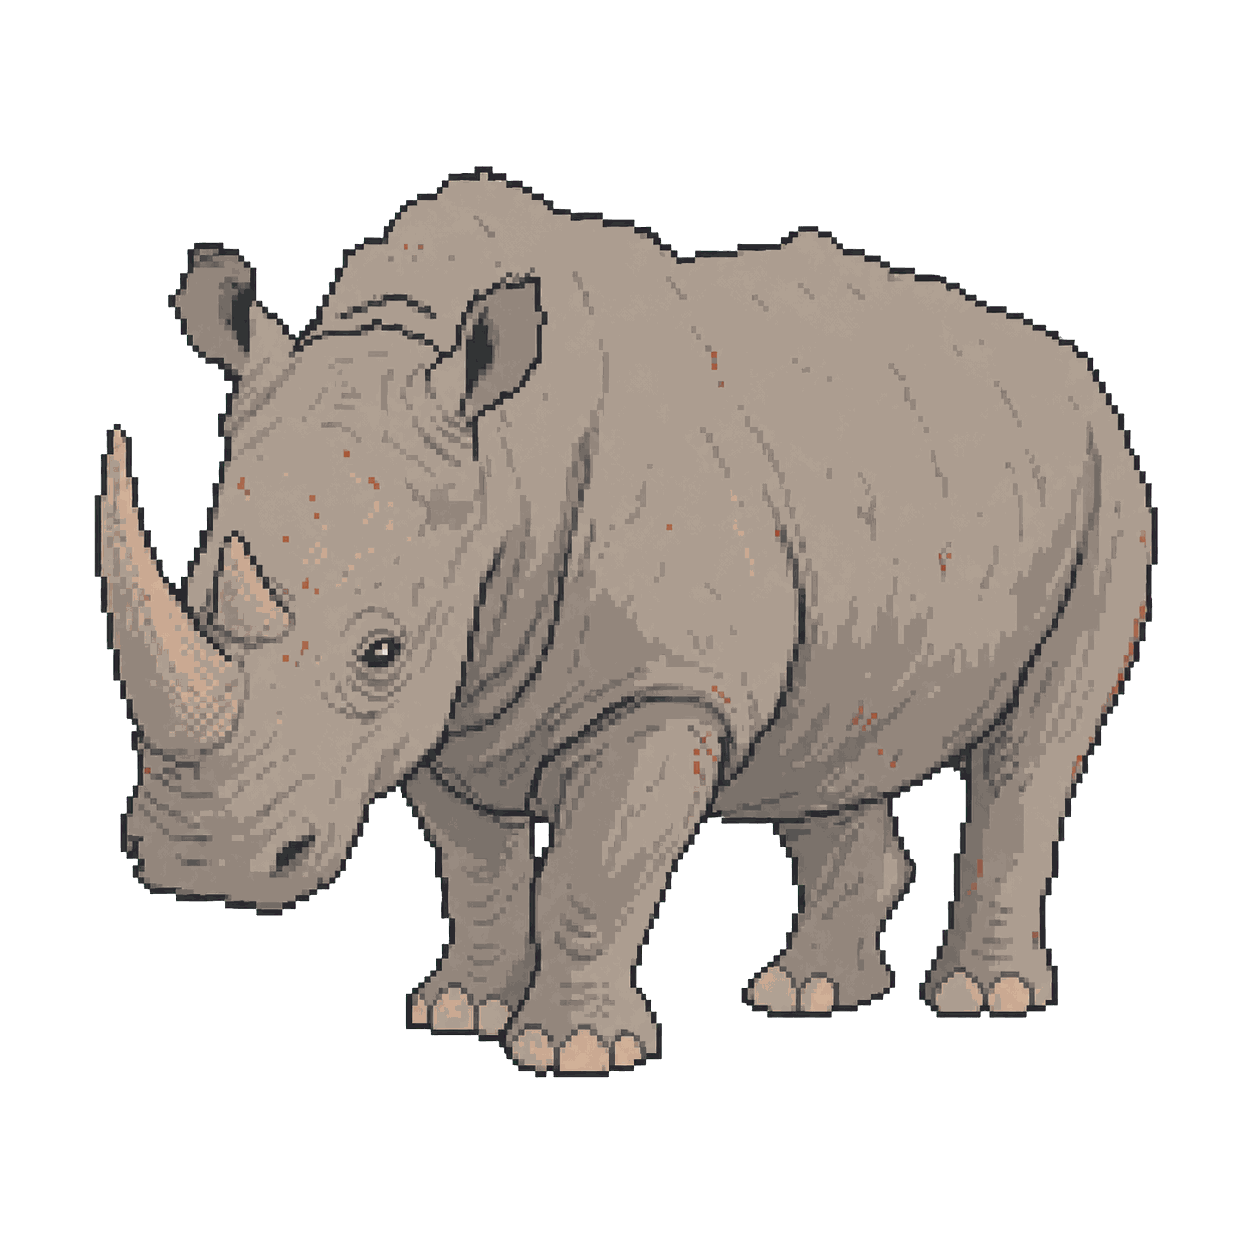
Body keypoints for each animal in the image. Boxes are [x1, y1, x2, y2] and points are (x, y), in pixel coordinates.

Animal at [99, 173, 1152, 1073]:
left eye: (379, 651)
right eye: (195, 597)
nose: (199, 865)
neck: (503, 461)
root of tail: (1068, 364)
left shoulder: (662, 692)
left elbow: (594, 871)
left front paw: (570, 1051)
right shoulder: (453, 701)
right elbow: (478, 872)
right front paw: (460, 1010)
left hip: (1108, 479)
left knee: (1033, 752)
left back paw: (984, 997)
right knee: (828, 753)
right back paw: (808, 993)